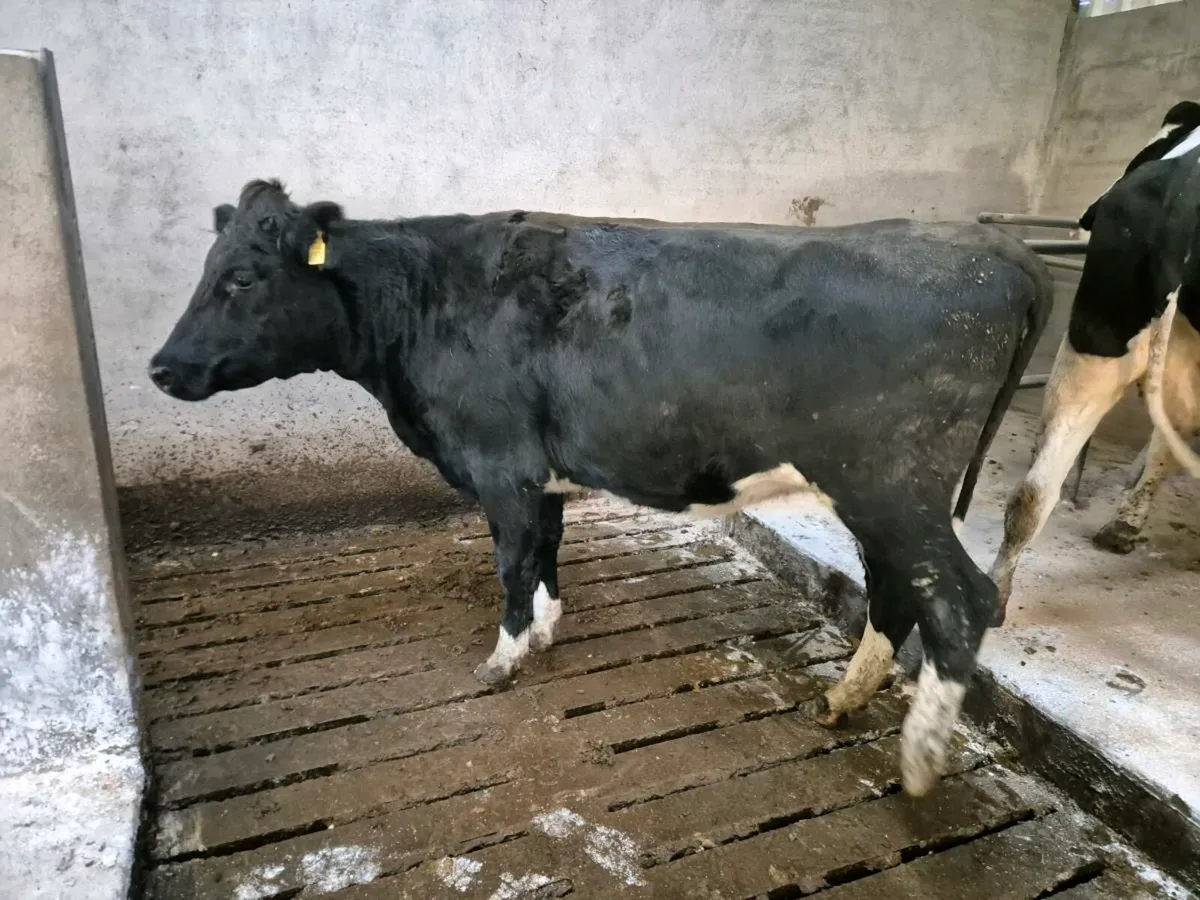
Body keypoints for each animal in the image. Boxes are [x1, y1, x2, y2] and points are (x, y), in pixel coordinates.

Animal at [148, 179, 1051, 797]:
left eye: (241, 278)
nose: (160, 368)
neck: (420, 302)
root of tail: (999, 253)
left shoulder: (499, 464)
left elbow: (511, 560)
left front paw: (504, 658)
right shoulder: (536, 472)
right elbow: (546, 548)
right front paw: (546, 631)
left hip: (893, 483)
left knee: (962, 598)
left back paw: (920, 760)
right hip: (881, 493)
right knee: (898, 588)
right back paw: (844, 699)